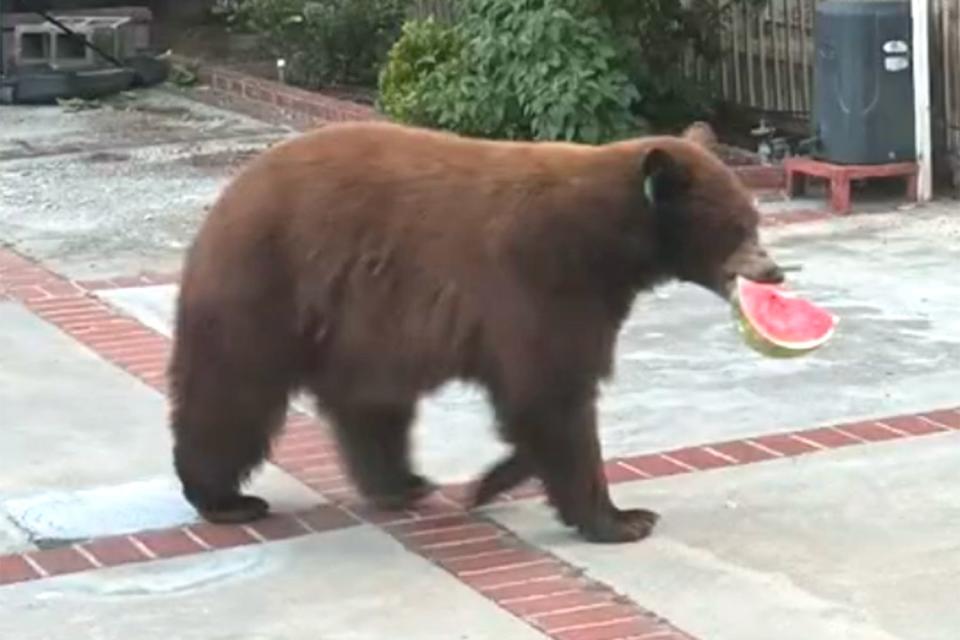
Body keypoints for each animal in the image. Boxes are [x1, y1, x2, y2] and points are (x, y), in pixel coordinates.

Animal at [169, 119, 784, 540]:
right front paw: (621, 517)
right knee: (232, 393)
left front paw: (491, 481)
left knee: (371, 405)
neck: (610, 240)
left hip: (359, 324)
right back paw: (223, 497)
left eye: (754, 218)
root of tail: (226, 200)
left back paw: (401, 483)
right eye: (737, 226)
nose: (774, 271)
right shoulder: (541, 279)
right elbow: (552, 395)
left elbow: (539, 402)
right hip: (267, 288)